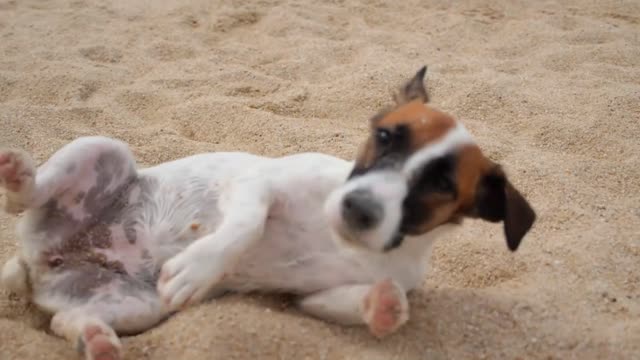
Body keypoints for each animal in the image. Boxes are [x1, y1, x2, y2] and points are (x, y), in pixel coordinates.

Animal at [1, 66, 536, 358]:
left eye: (440, 186)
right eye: (384, 136)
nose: (357, 207)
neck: (341, 239)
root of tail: (37, 263)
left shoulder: (308, 301)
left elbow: (378, 303)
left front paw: (383, 307)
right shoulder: (257, 184)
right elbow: (246, 224)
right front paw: (200, 267)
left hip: (136, 304)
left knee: (63, 323)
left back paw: (94, 338)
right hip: (102, 149)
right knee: (27, 197)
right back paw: (19, 177)